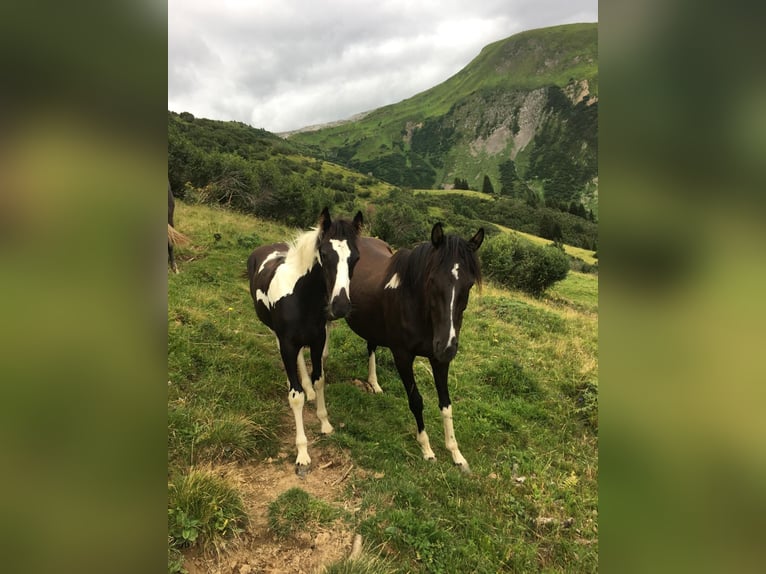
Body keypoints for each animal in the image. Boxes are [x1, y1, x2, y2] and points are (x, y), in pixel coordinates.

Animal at [248, 209, 364, 474]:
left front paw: (325, 422)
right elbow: (296, 397)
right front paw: (302, 453)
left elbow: (320, 380)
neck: (301, 298)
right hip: (277, 335)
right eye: (325, 254)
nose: (340, 306)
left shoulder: (318, 341)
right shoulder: (288, 343)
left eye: (356, 258)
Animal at [348, 224, 486, 472]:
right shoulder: (402, 357)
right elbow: (416, 400)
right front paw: (427, 448)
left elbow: (446, 404)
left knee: (371, 345)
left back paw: (374, 383)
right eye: (432, 280)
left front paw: (455, 453)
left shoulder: (439, 360)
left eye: (469, 285)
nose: (447, 346)